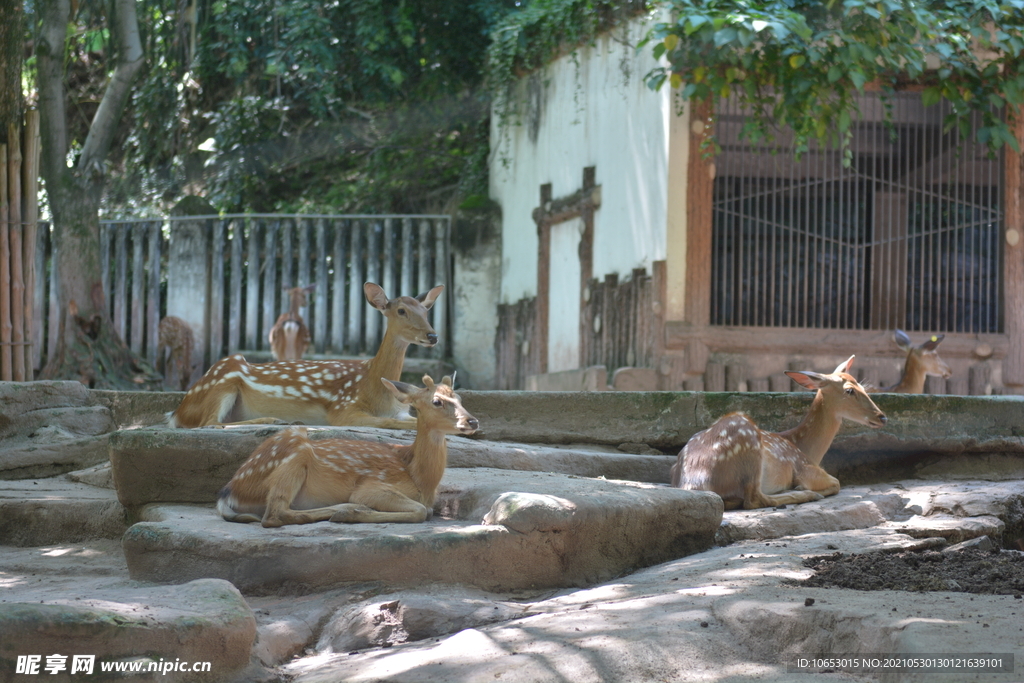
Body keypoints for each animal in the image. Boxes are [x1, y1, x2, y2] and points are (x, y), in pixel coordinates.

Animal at [165, 282, 442, 428]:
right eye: (402, 311)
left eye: (426, 311)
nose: (432, 336)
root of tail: (179, 411)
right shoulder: (343, 409)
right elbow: (390, 422)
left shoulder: (401, 410)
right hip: (224, 379)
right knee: (210, 422)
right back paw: (273, 419)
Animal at [218, 376, 477, 528]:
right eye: (437, 401)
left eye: (460, 398)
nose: (472, 421)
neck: (421, 480)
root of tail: (229, 491)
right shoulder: (372, 486)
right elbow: (422, 511)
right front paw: (355, 511)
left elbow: (428, 510)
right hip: (295, 454)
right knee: (274, 515)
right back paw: (343, 510)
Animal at [671, 358, 888, 507]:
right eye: (850, 390)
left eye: (863, 386)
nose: (882, 417)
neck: (806, 450)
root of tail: (694, 483)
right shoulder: (804, 468)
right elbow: (837, 482)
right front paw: (803, 486)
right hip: (748, 443)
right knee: (754, 499)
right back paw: (806, 494)